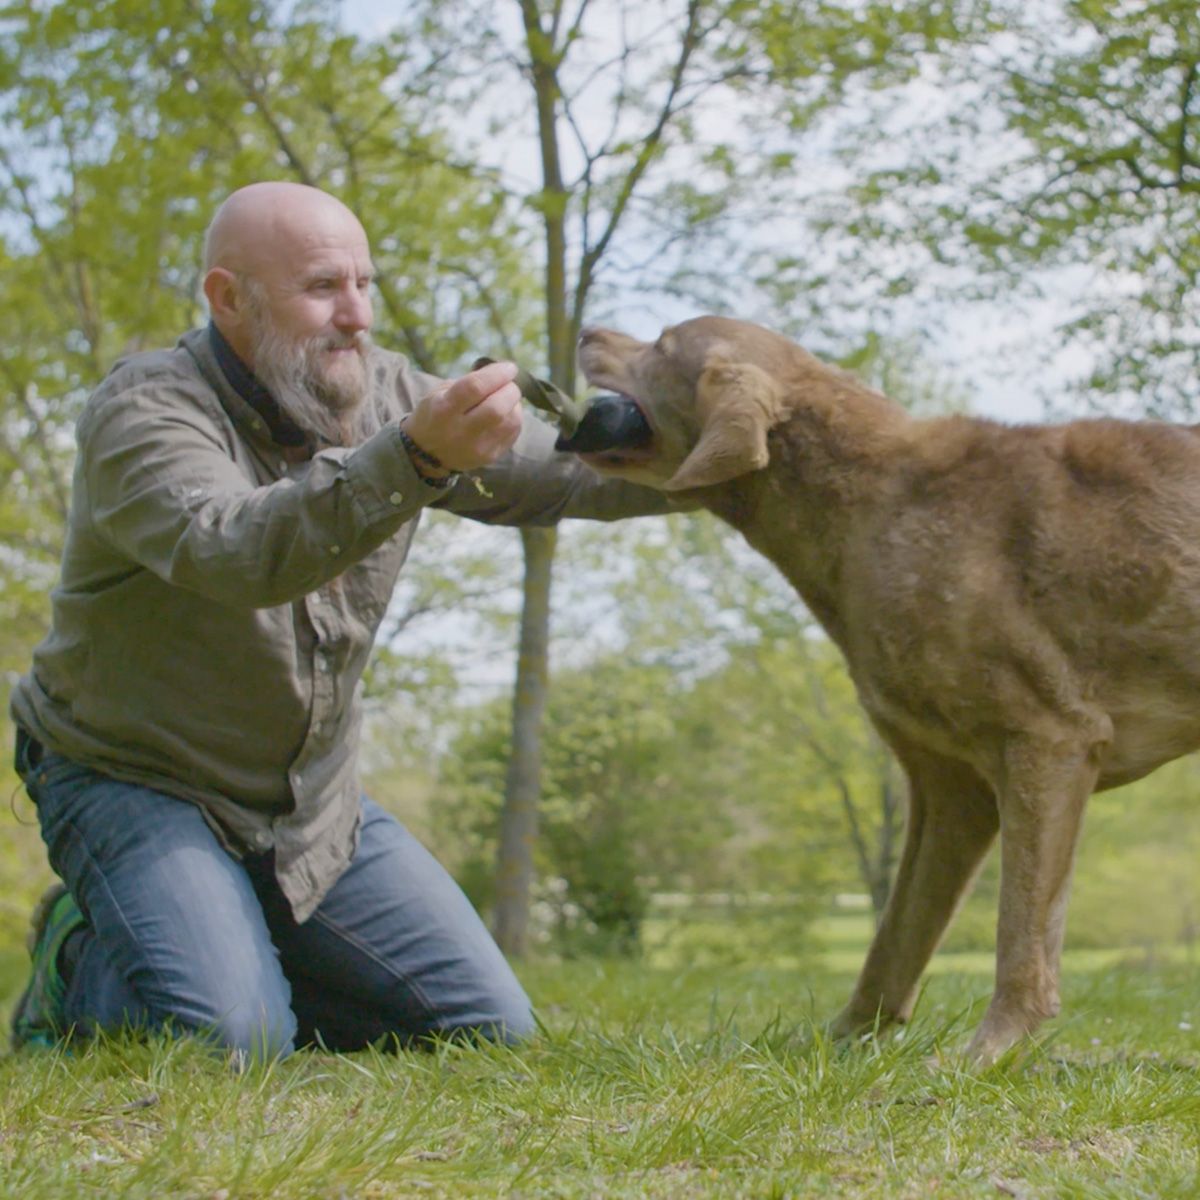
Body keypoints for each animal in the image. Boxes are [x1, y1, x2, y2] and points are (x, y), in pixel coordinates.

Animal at [559, 316, 1200, 1060]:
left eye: (662, 345)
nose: (588, 329)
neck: (868, 502)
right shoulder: (951, 787)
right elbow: (897, 934)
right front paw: (838, 1046)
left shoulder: (1048, 740)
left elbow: (1018, 932)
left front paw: (985, 1055)